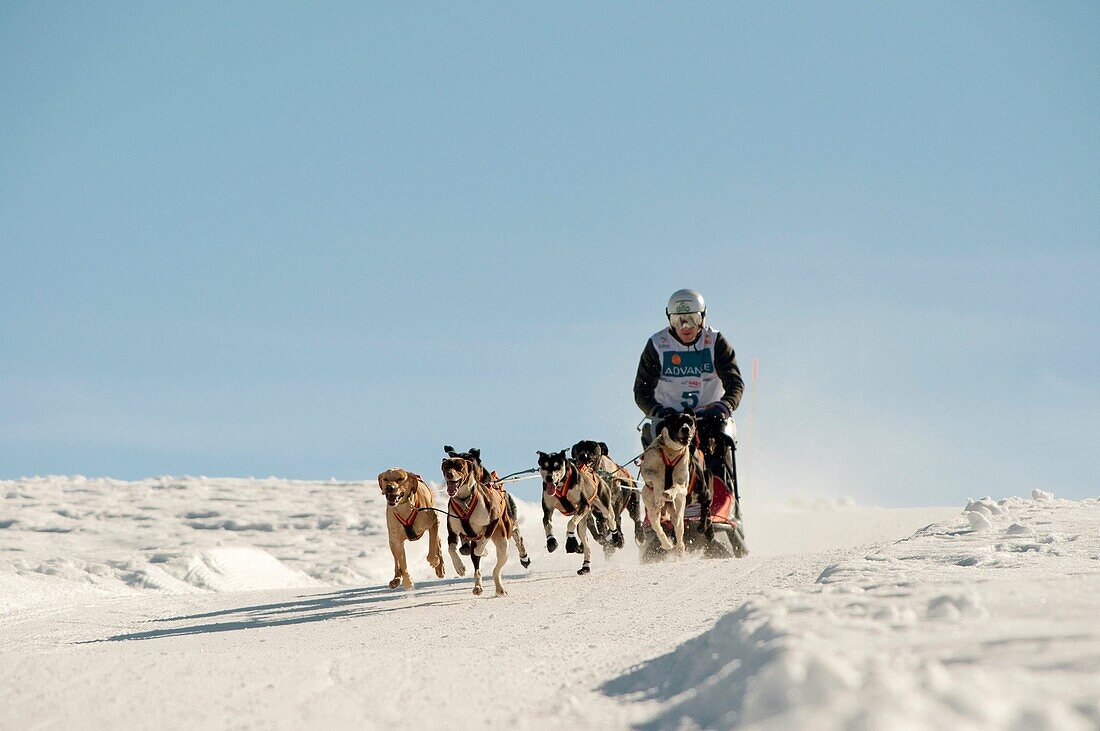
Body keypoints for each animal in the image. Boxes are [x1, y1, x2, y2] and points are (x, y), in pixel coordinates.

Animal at [440, 448, 530, 597]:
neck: (465, 501)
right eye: (446, 466)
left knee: (496, 569)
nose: (449, 474)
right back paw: (478, 586)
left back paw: (499, 587)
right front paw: (459, 567)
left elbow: (480, 546)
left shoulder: (493, 522)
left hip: (503, 545)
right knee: (477, 568)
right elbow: (451, 549)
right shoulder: (452, 532)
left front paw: (482, 551)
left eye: (459, 466)